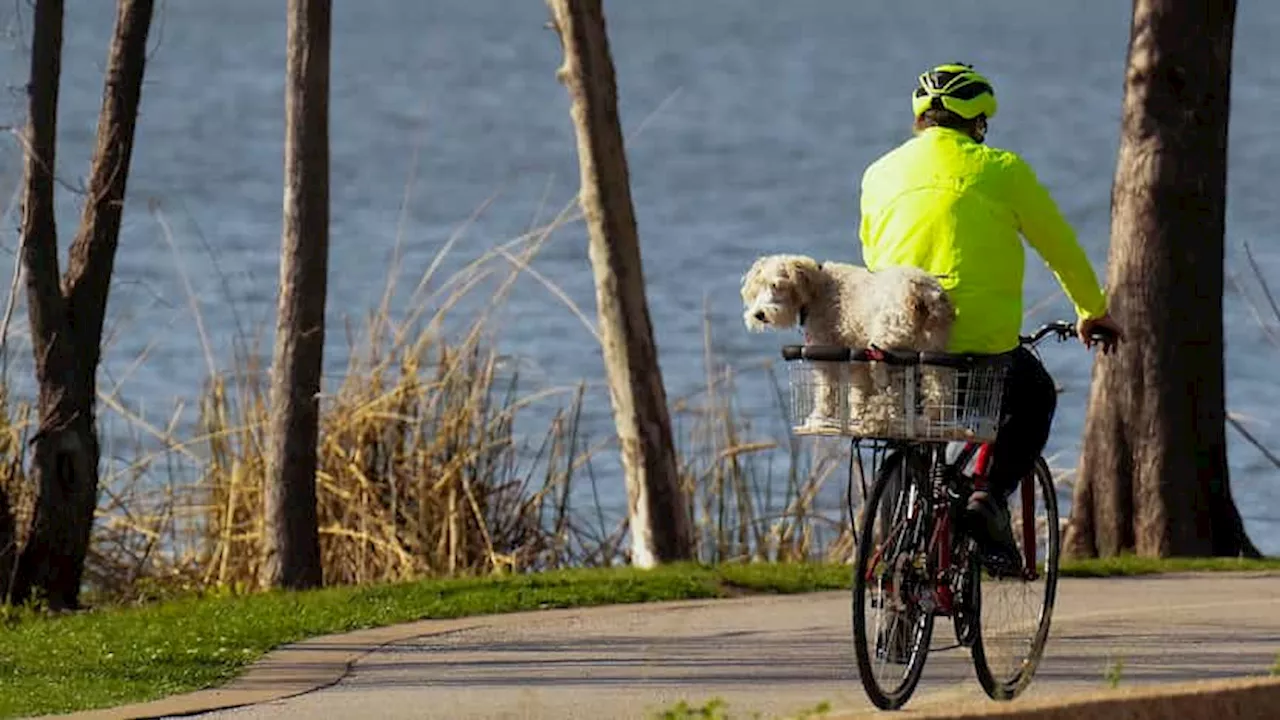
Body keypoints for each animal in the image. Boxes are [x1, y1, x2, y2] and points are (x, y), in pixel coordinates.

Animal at [742, 252, 962, 430]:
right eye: (758, 288)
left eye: (776, 285)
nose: (759, 314)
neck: (817, 288)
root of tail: (923, 292)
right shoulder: (855, 355)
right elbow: (858, 390)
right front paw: (856, 415)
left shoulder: (824, 347)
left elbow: (826, 389)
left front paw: (820, 417)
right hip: (933, 348)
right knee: (939, 389)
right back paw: (931, 419)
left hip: (885, 349)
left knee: (891, 392)